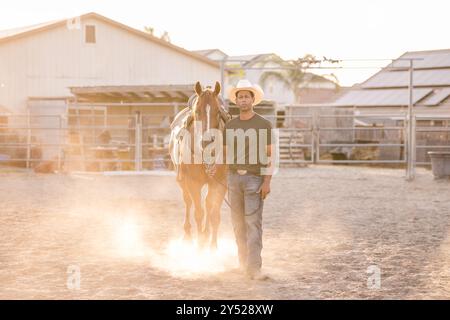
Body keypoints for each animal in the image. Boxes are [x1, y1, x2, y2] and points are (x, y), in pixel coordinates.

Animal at [169, 81, 232, 249]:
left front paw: (212, 246)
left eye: (218, 112)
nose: (207, 141)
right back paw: (188, 234)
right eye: (197, 112)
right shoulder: (193, 183)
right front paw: (200, 246)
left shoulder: (221, 182)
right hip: (182, 180)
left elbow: (214, 213)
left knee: (208, 204)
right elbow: (198, 212)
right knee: (188, 202)